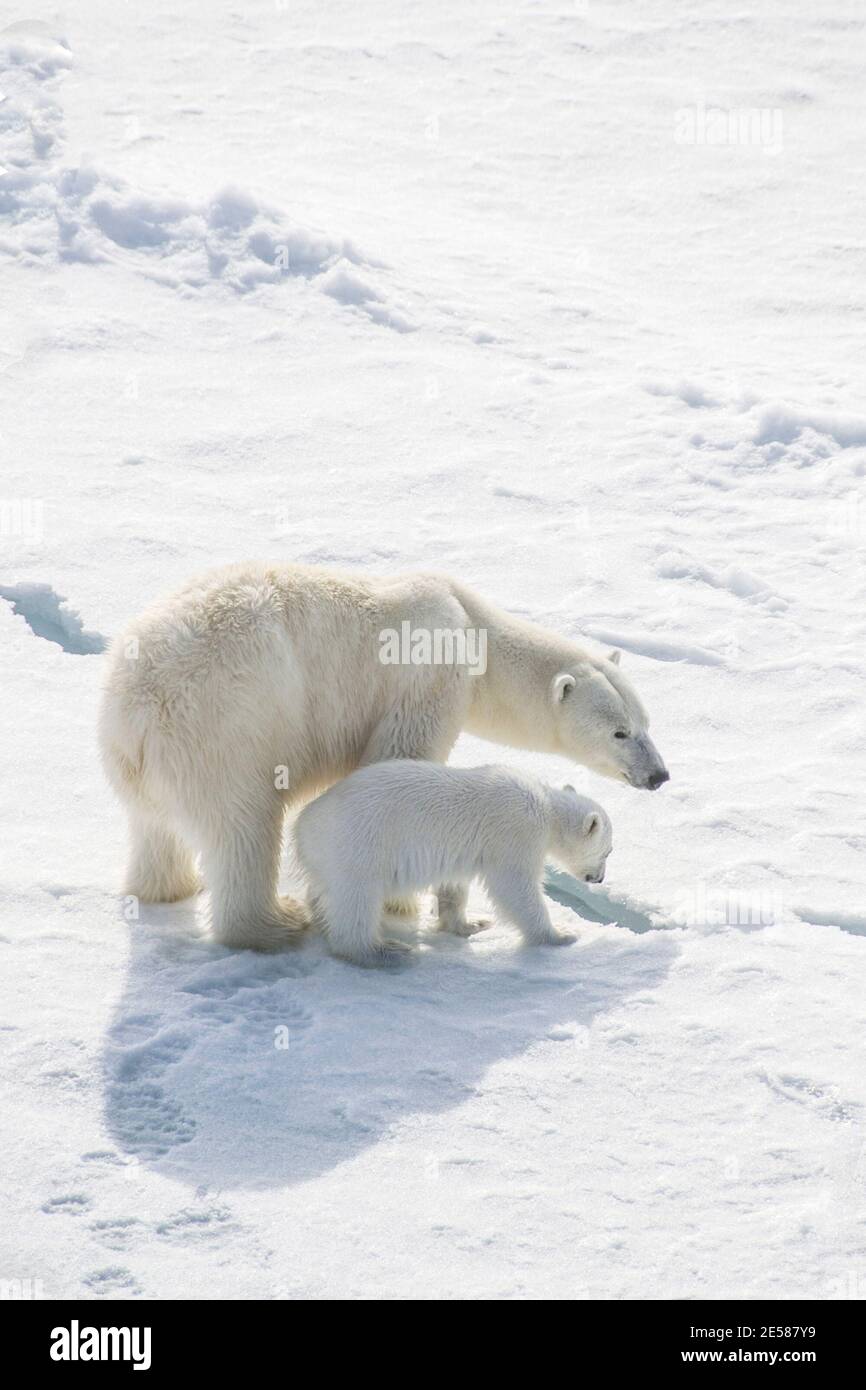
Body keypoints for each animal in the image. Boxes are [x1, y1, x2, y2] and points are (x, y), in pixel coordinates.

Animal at [294, 760, 613, 965]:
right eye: (608, 851)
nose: (599, 879)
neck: (546, 807)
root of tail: (304, 822)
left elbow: (454, 884)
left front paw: (472, 924)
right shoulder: (516, 830)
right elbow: (514, 885)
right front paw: (561, 935)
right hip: (357, 845)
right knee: (357, 899)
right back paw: (383, 951)